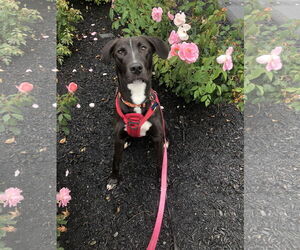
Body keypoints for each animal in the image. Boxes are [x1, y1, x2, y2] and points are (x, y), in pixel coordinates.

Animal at [102, 36, 169, 189]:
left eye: (143, 47)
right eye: (120, 51)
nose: (136, 67)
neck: (137, 100)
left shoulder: (157, 136)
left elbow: (160, 161)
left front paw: (162, 178)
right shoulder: (118, 138)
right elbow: (115, 160)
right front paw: (114, 178)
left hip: (164, 123)